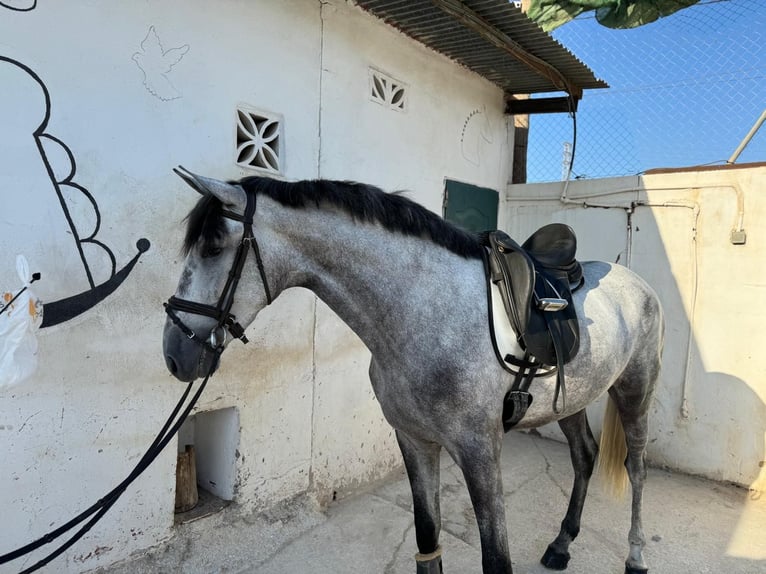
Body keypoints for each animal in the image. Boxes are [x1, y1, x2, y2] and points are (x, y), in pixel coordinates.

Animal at [164, 171, 664, 574]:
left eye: (213, 247)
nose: (174, 354)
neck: (424, 312)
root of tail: (636, 282)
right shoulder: (414, 440)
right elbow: (428, 543)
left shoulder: (481, 452)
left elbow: (495, 559)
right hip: (573, 399)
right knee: (584, 456)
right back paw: (561, 546)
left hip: (635, 390)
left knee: (636, 468)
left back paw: (636, 557)